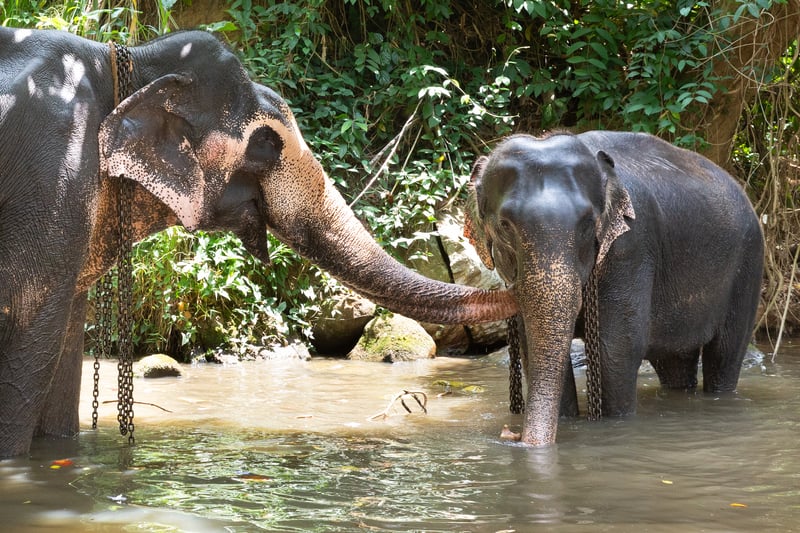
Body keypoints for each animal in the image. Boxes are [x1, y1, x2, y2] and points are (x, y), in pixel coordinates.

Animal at [465, 131, 764, 446]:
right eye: (505, 225)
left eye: (587, 224)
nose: (514, 436)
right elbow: (532, 348)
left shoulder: (630, 247)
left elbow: (615, 349)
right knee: (674, 361)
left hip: (749, 264)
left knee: (725, 353)